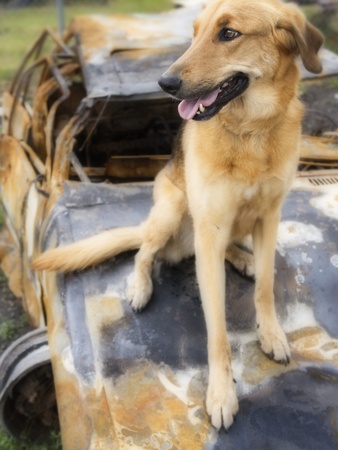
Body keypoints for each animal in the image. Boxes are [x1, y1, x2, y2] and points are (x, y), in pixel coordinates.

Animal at [33, 0, 324, 430]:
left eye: (229, 33)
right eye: (195, 33)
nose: (163, 84)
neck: (251, 131)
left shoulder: (269, 216)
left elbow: (267, 287)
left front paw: (271, 334)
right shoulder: (212, 226)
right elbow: (217, 329)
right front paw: (221, 394)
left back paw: (242, 259)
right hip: (171, 211)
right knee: (143, 253)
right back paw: (140, 286)